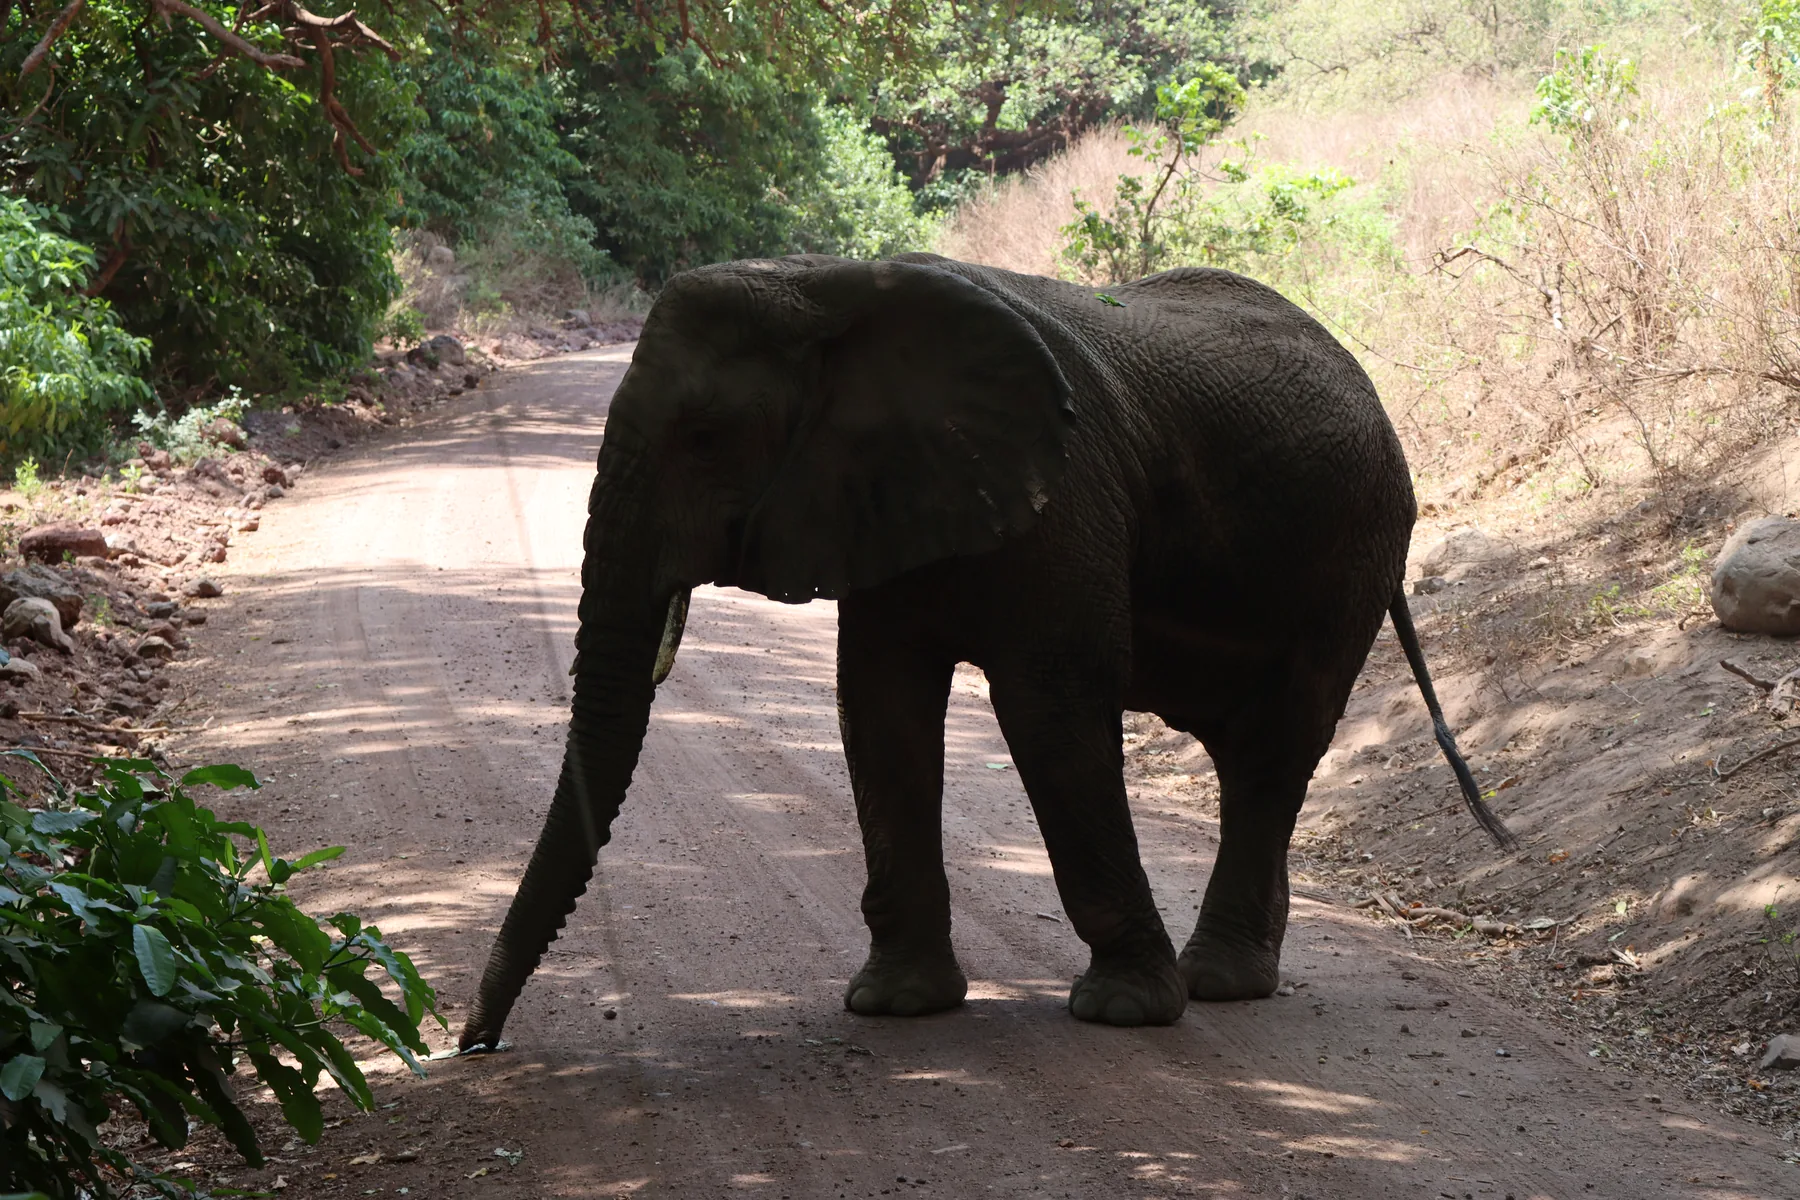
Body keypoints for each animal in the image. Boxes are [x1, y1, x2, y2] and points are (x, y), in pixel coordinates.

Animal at [459, 253, 1513, 1048]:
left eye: (709, 437)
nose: (478, 1044)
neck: (828, 284)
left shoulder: (1067, 493)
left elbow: (1051, 709)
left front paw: (1125, 1012)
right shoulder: (873, 496)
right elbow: (879, 708)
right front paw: (895, 1005)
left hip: (1354, 554)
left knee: (1272, 751)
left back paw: (1216, 982)